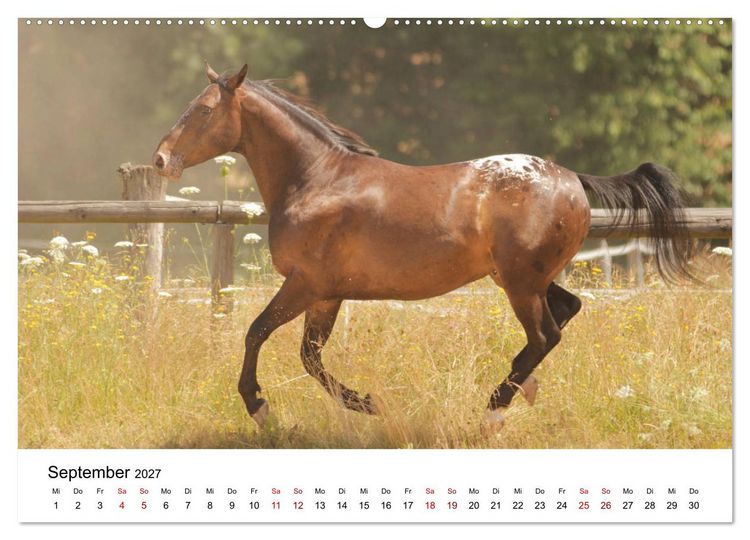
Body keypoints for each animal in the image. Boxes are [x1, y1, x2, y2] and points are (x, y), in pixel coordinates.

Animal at [152, 63, 693, 435]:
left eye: (203, 110)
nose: (160, 159)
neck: (317, 179)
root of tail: (573, 179)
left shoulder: (305, 284)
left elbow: (256, 333)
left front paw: (261, 407)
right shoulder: (327, 294)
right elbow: (310, 358)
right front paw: (369, 404)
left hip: (520, 283)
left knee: (547, 335)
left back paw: (494, 410)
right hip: (521, 278)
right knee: (566, 311)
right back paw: (523, 386)